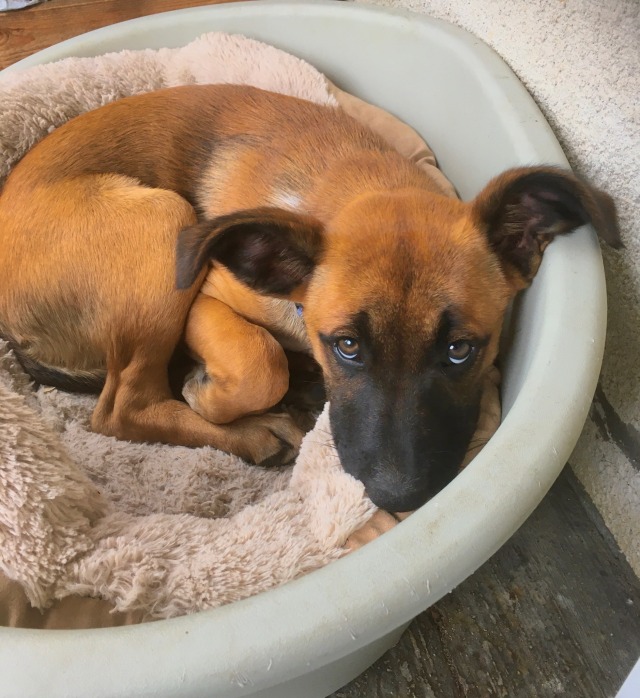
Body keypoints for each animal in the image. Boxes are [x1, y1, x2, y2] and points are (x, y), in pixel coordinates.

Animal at [0, 85, 620, 512]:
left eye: (461, 350)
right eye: (346, 346)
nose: (396, 498)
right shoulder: (205, 295)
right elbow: (260, 361)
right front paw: (214, 393)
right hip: (163, 221)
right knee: (123, 408)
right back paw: (254, 431)